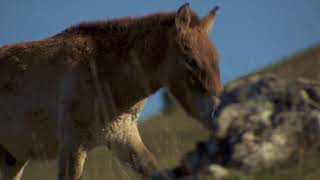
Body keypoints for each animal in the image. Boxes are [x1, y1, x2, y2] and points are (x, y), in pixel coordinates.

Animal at [0, 3, 222, 180]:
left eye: (216, 61)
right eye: (191, 61)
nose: (216, 114)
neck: (103, 70)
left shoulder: (123, 138)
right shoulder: (72, 146)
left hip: (13, 160)